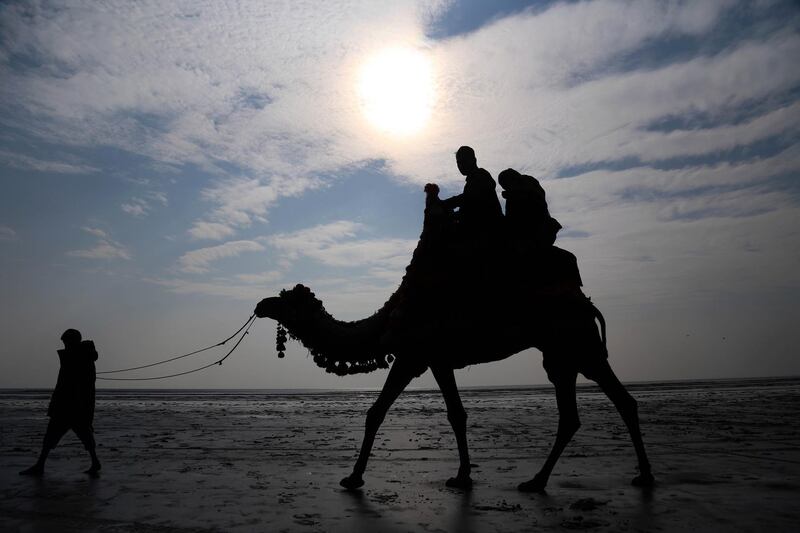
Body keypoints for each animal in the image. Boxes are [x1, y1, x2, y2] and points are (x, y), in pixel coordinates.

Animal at [253, 186, 652, 490]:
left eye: (287, 300)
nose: (261, 303)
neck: (387, 319)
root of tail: (587, 303)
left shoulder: (414, 355)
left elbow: (378, 412)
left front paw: (353, 479)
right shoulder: (437, 360)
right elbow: (455, 414)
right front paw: (462, 477)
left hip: (579, 344)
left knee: (621, 401)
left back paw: (643, 477)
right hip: (560, 353)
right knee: (571, 414)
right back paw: (536, 482)